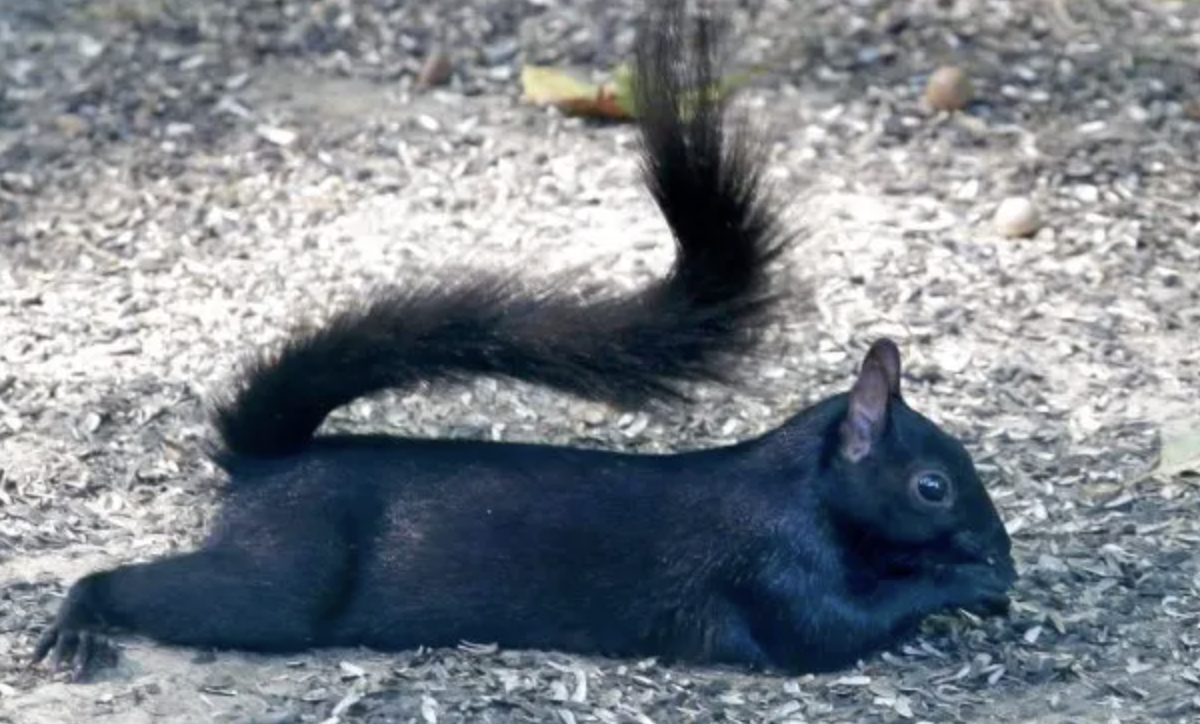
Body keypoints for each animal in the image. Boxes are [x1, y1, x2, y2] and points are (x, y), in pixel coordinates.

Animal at [32, 0, 1015, 682]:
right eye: (931, 486)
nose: (1001, 551)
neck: (797, 490)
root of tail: (265, 465)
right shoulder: (774, 574)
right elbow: (835, 631)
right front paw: (965, 586)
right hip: (282, 581)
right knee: (182, 591)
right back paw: (80, 616)